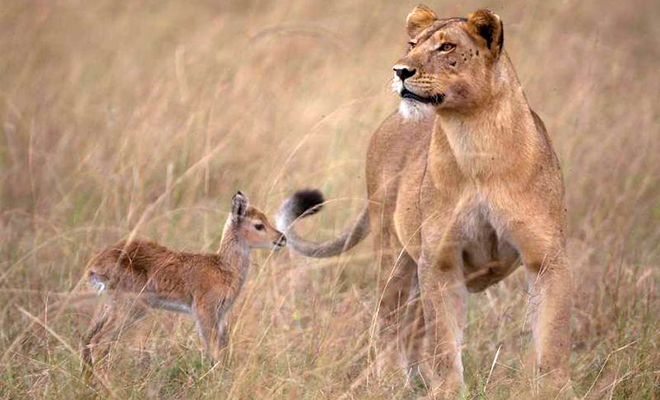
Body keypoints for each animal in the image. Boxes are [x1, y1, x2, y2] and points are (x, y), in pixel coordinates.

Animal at [81, 191, 284, 372]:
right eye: (259, 225)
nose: (281, 238)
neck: (224, 267)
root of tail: (94, 264)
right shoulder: (204, 312)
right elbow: (212, 350)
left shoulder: (221, 316)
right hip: (130, 308)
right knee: (98, 342)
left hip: (110, 307)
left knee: (87, 339)